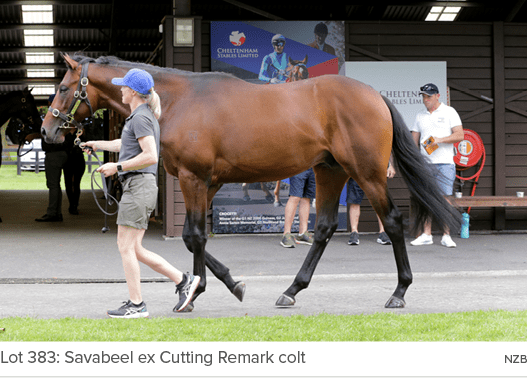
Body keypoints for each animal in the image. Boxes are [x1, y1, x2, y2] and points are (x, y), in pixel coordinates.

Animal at [42, 52, 462, 308]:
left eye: (62, 88)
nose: (48, 131)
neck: (178, 101)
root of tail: (373, 95)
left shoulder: (195, 179)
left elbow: (197, 236)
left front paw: (195, 292)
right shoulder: (207, 182)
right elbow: (195, 235)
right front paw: (217, 285)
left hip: (367, 173)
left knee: (392, 222)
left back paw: (399, 291)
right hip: (330, 170)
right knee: (325, 227)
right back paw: (292, 290)